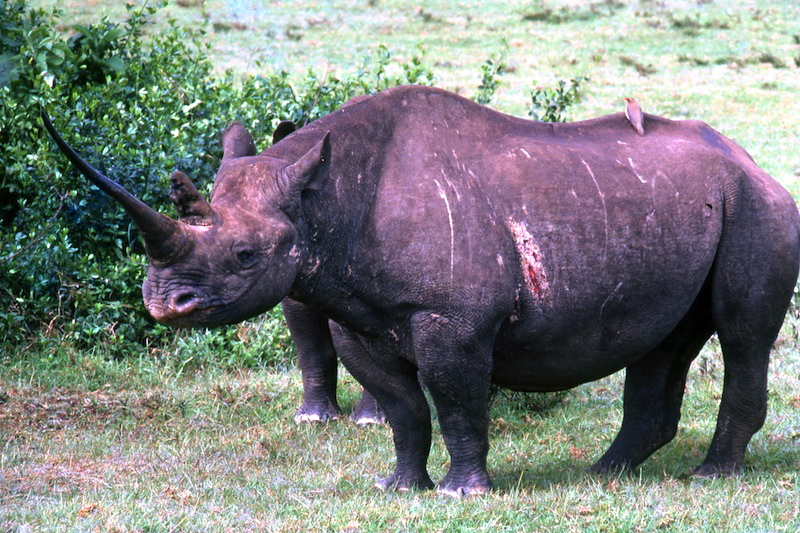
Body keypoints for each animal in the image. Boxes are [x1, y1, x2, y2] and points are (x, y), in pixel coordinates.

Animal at [42, 85, 800, 496]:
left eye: (244, 254)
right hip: (676, 208)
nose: (162, 303)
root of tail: (750, 158)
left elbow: (456, 399)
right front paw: (399, 487)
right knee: (664, 340)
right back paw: (603, 475)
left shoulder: (450, 318)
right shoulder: (354, 314)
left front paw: (465, 493)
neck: (323, 199)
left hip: (760, 208)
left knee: (743, 334)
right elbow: (403, 407)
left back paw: (709, 476)